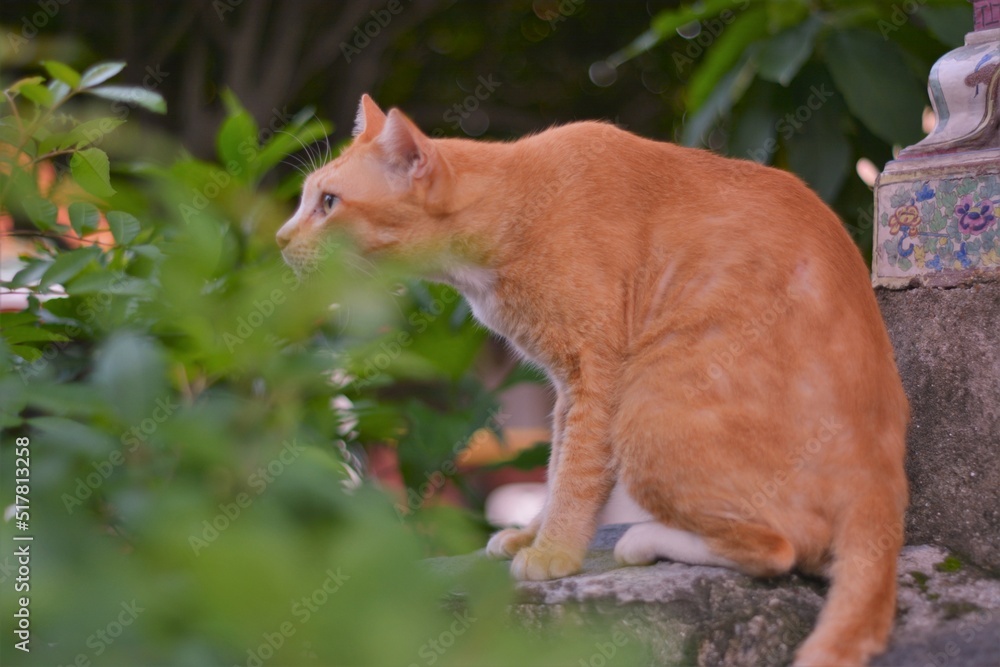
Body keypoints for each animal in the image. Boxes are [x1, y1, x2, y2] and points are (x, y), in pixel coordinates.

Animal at [278, 95, 912, 667]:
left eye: (328, 202)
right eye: (307, 198)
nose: (280, 239)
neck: (510, 212)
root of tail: (882, 466)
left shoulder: (598, 375)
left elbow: (577, 473)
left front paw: (554, 552)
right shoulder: (565, 387)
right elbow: (557, 465)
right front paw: (532, 534)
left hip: (648, 408)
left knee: (783, 547)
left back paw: (646, 540)